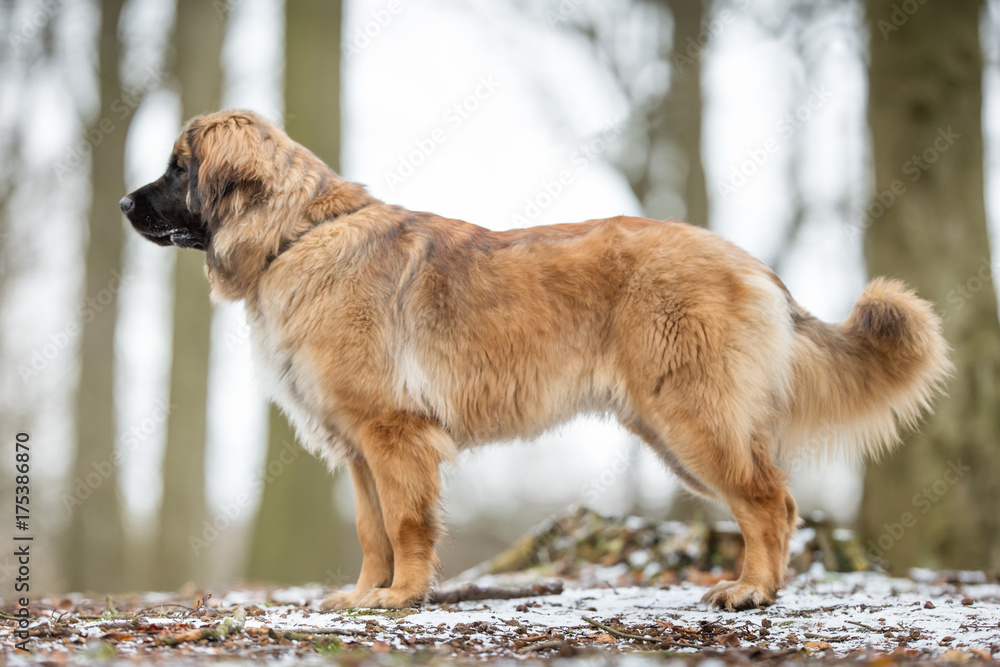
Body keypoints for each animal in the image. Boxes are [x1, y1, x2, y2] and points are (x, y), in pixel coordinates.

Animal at [121, 108, 948, 612]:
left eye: (178, 167)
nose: (125, 205)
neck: (297, 234)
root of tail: (750, 262)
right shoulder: (358, 448)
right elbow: (370, 528)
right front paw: (365, 595)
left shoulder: (394, 435)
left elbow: (407, 524)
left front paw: (404, 596)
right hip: (674, 431)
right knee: (774, 501)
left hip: (693, 420)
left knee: (770, 501)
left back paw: (749, 591)